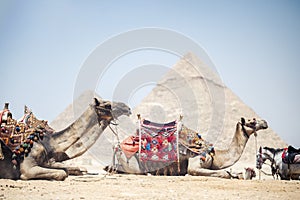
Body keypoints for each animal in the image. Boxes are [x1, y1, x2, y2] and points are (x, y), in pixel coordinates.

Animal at [0, 97, 131, 180]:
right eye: (108, 104)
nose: (127, 108)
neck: (47, 142)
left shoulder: (47, 161)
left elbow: (66, 170)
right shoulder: (28, 168)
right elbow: (62, 173)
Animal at [106, 117, 268, 178]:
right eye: (252, 121)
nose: (265, 122)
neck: (216, 154)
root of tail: (117, 146)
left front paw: (243, 174)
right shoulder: (195, 163)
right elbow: (221, 173)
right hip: (133, 164)